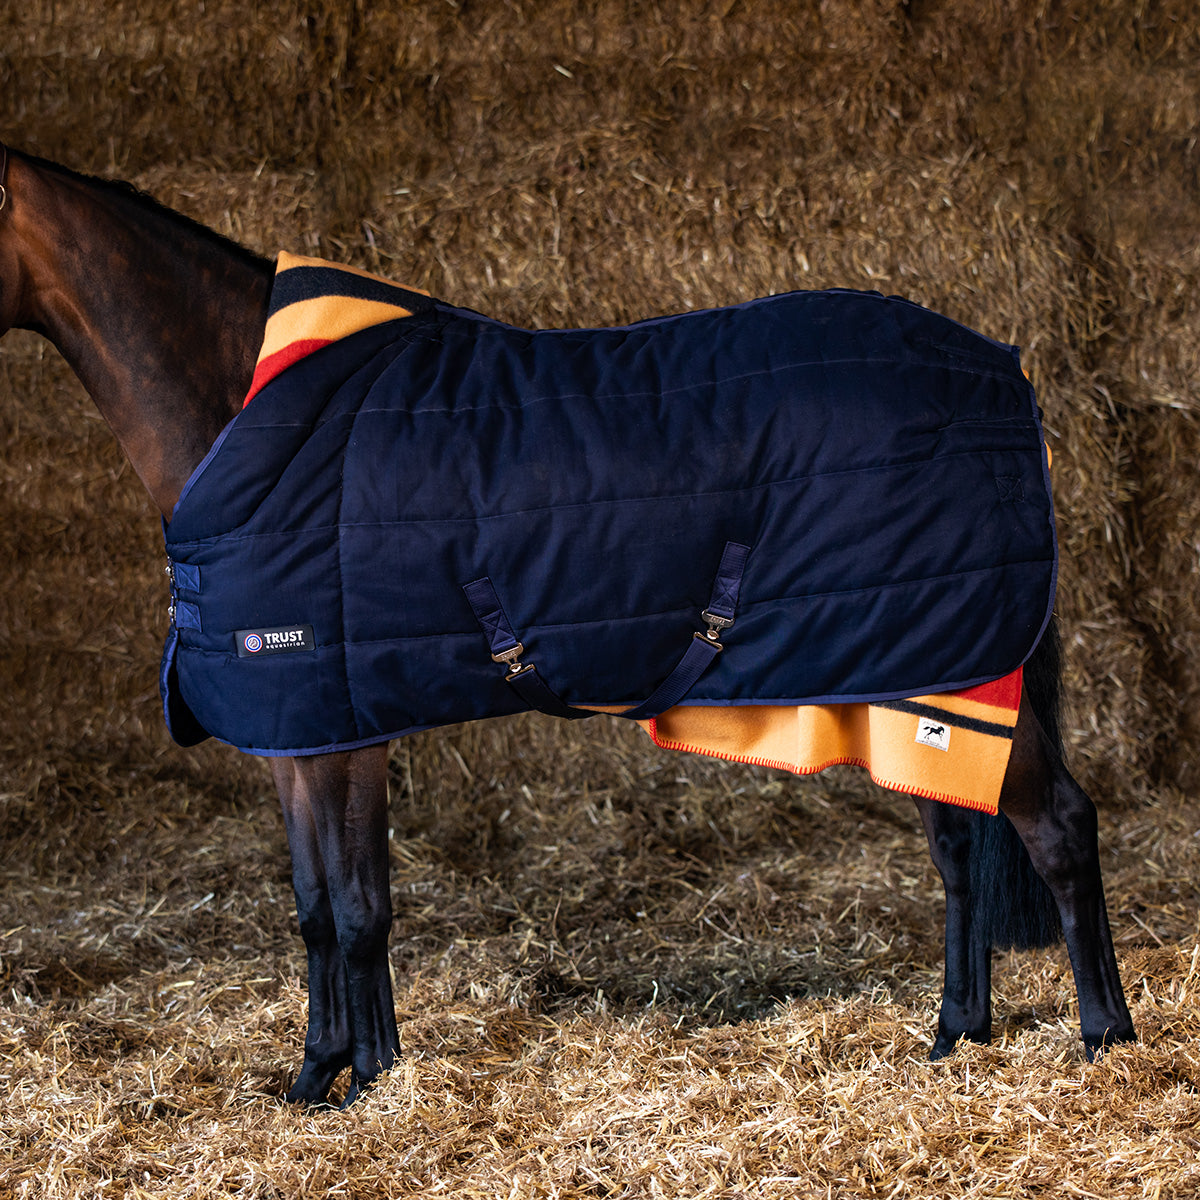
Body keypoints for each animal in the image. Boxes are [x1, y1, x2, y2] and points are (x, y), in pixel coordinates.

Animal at [0, 144, 1134, 1108]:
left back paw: (1104, 1040)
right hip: (919, 672)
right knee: (962, 845)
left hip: (951, 672)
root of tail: (1001, 370)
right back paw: (954, 1035)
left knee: (1057, 826)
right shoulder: (309, 729)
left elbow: (359, 907)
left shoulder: (340, 729)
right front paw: (326, 1072)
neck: (255, 406)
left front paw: (362, 1078)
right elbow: (321, 906)